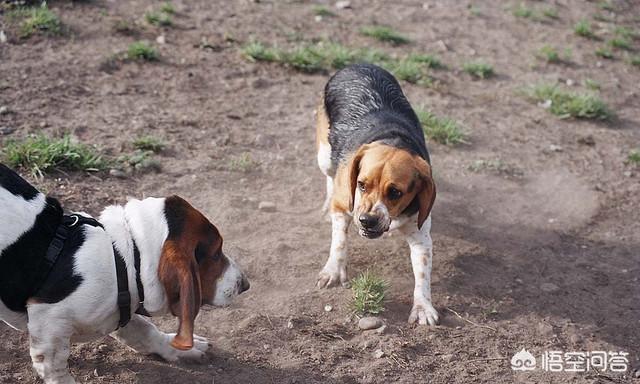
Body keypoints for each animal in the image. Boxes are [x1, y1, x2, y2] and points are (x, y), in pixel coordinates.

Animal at [0, 164, 250, 384]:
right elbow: (55, 368)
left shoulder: (124, 307)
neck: (126, 259)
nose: (245, 284)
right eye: (216, 253)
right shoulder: (49, 324)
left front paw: (175, 348)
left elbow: (143, 330)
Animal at [316, 64, 440, 326]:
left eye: (395, 192)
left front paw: (423, 307)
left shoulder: (421, 235)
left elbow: (422, 273)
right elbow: (339, 241)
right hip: (324, 156)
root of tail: (358, 64)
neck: (393, 139)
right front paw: (333, 271)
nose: (367, 221)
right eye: (361, 185)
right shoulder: (343, 207)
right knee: (329, 177)